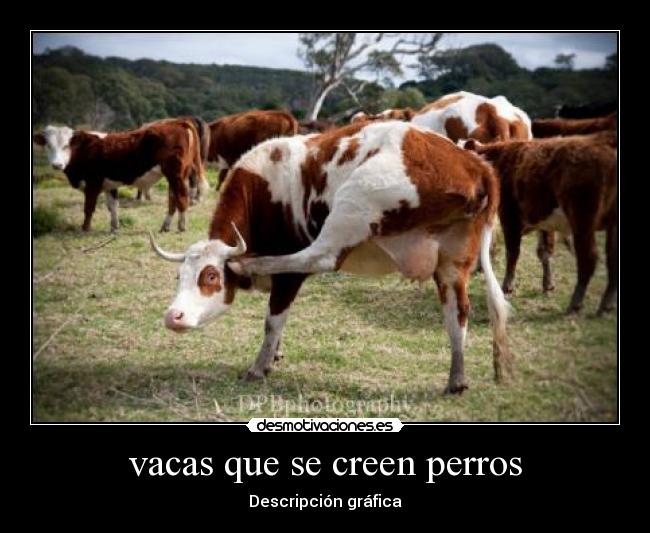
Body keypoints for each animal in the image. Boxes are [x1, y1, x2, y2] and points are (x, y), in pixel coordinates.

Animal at [33, 118, 205, 233]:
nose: (57, 165)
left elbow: (88, 207)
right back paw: (166, 226)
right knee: (172, 200)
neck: (84, 149)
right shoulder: (109, 184)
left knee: (182, 198)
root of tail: (178, 121)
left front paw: (85, 228)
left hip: (175, 175)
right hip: (175, 176)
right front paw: (114, 227)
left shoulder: (93, 182)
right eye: (48, 145)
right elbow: (113, 206)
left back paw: (182, 226)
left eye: (66, 145)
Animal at [149, 121, 513, 394]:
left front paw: (260, 365)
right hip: (451, 261)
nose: (172, 316)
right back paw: (457, 379)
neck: (263, 189)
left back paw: (255, 263)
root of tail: (473, 163)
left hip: (355, 203)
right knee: (457, 312)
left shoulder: (288, 281)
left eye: (210, 276)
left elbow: (273, 320)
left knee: (319, 256)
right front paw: (275, 354)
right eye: (179, 277)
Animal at [463, 131, 617, 315]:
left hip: (583, 221)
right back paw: (606, 305)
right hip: (611, 225)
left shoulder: (510, 217)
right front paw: (548, 285)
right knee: (612, 260)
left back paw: (575, 304)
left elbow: (512, 253)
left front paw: (507, 288)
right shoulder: (544, 223)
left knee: (588, 258)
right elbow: (544, 252)